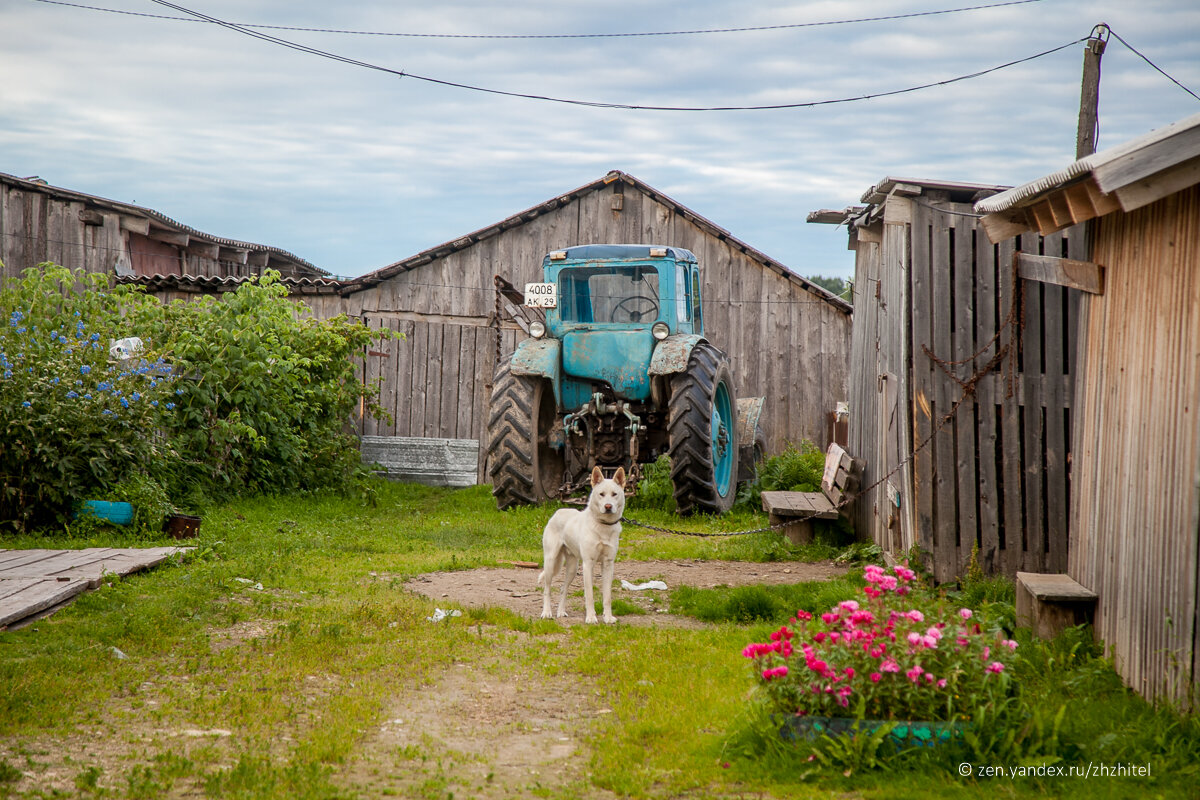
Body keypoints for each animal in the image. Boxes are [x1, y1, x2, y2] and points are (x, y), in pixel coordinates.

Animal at [537, 470, 624, 623]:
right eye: (601, 494)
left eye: (614, 494)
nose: (608, 507)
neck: (603, 526)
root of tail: (558, 512)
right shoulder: (588, 564)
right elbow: (589, 595)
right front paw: (591, 618)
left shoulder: (608, 564)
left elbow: (607, 597)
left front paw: (608, 618)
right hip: (550, 563)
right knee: (547, 589)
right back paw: (547, 613)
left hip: (572, 568)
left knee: (563, 588)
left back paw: (561, 612)